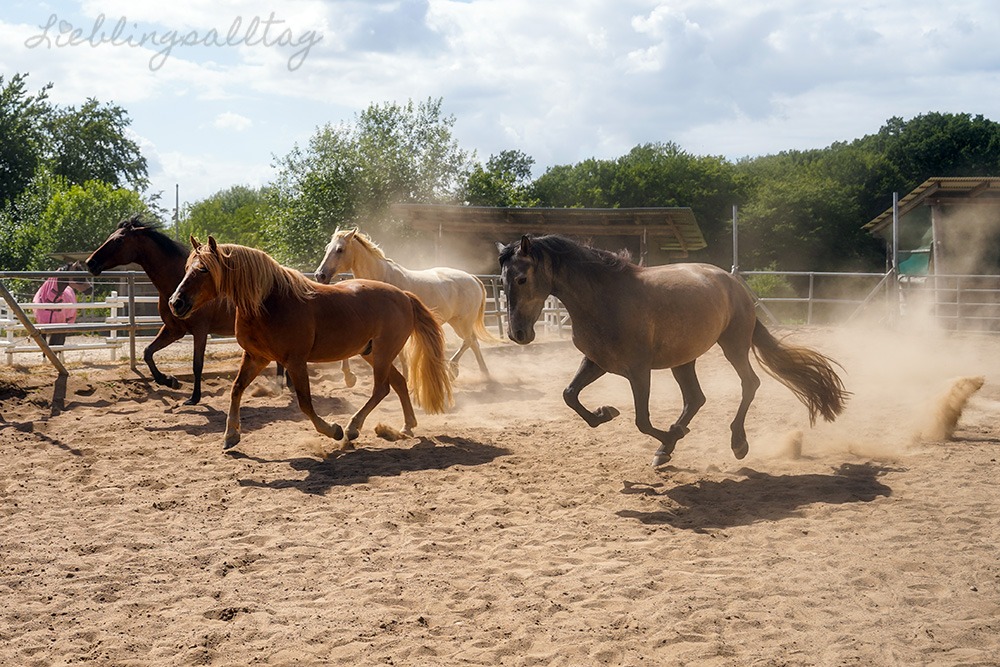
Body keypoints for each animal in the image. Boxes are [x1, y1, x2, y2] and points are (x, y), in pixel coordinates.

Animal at [86, 215, 286, 405]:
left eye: (119, 240)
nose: (90, 263)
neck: (179, 280)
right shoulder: (174, 329)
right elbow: (148, 352)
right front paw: (169, 381)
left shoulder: (200, 331)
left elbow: (197, 364)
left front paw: (194, 397)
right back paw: (282, 386)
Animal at [168, 236, 453, 450]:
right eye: (186, 269)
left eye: (204, 269)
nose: (175, 303)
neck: (269, 302)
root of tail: (404, 295)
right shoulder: (255, 357)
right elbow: (236, 389)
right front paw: (231, 436)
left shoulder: (295, 362)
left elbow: (305, 403)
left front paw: (334, 430)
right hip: (371, 353)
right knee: (399, 382)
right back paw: (407, 426)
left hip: (383, 353)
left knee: (381, 389)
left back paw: (352, 428)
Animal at [315, 228, 498, 378]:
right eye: (327, 248)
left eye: (340, 249)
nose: (319, 275)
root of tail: (472, 278)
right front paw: (349, 376)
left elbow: (401, 356)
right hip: (457, 322)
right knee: (473, 342)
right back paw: (483, 374)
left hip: (462, 322)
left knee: (470, 340)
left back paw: (459, 370)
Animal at [498, 234, 849, 466]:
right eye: (502, 282)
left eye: (522, 278)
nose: (518, 334)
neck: (605, 299)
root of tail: (733, 284)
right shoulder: (596, 362)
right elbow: (569, 395)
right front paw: (606, 413)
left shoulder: (638, 370)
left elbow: (642, 420)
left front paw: (667, 436)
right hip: (684, 359)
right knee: (696, 398)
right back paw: (672, 442)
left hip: (733, 345)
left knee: (749, 384)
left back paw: (736, 443)